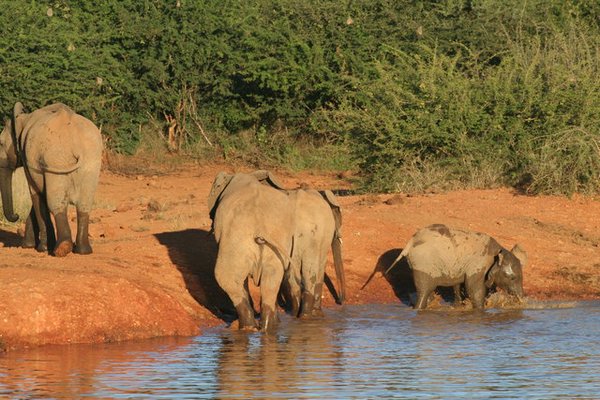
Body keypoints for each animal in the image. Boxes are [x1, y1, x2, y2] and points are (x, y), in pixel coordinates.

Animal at [0, 102, 103, 256]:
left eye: (0, 143)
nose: (16, 215)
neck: (23, 118)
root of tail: (75, 143)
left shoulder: (29, 160)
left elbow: (36, 195)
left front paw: (41, 248)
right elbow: (40, 194)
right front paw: (28, 245)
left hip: (55, 160)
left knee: (56, 202)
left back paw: (62, 249)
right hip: (91, 163)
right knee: (84, 203)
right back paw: (83, 251)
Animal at [209, 171, 298, 332]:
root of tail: (259, 229)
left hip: (239, 242)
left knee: (225, 277)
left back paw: (249, 327)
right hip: (274, 244)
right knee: (271, 282)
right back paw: (264, 328)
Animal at [386, 225, 528, 310]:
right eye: (512, 278)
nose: (520, 302)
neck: (498, 252)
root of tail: (410, 243)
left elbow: (458, 285)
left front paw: (458, 306)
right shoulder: (478, 264)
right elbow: (474, 288)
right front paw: (480, 310)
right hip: (423, 262)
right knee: (425, 290)